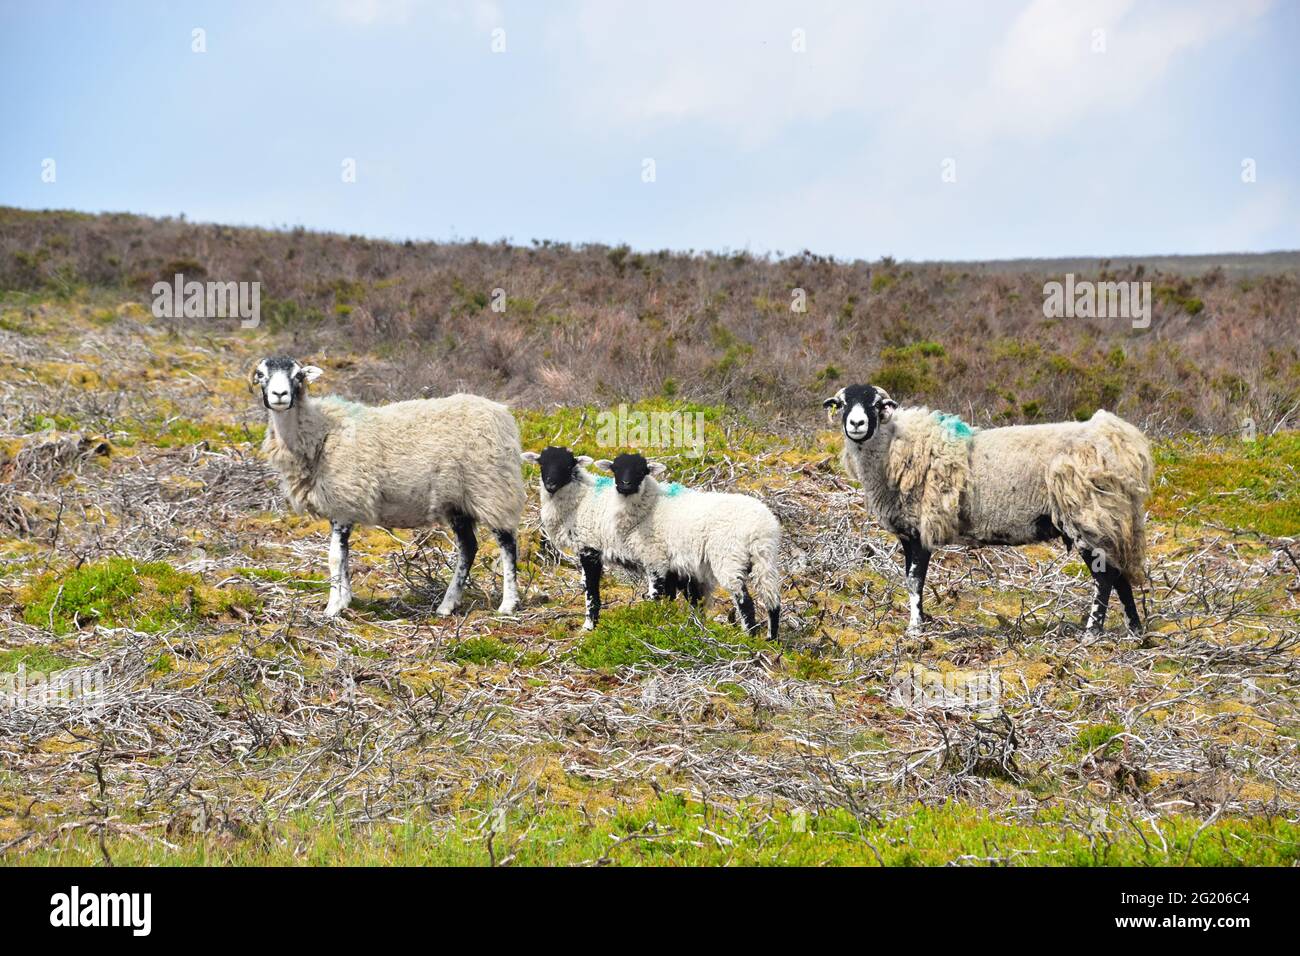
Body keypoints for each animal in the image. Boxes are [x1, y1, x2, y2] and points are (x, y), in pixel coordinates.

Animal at [250, 358, 525, 621]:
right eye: (261, 374)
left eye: (298, 375)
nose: (279, 395)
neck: (321, 431)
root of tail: (501, 413)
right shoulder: (338, 506)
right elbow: (344, 557)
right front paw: (345, 600)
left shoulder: (344, 501)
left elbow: (334, 557)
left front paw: (332, 608)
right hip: (457, 501)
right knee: (468, 547)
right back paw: (447, 605)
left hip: (493, 489)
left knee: (507, 543)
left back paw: (507, 604)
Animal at [595, 450, 785, 642]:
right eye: (615, 469)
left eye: (642, 471)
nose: (625, 485)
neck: (650, 507)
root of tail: (760, 527)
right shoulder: (681, 569)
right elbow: (690, 600)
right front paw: (692, 624)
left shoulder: (656, 558)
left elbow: (661, 594)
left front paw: (662, 618)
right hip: (765, 557)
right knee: (772, 600)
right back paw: (772, 639)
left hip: (729, 558)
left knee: (744, 600)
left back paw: (749, 637)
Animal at [826, 385, 1154, 639]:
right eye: (842, 404)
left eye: (876, 404)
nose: (856, 424)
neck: (895, 448)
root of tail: (1119, 440)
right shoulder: (909, 534)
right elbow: (911, 579)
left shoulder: (921, 530)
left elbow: (915, 580)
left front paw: (915, 629)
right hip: (1109, 518)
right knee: (1119, 572)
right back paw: (1135, 630)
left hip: (1086, 513)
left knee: (1105, 576)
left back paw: (1092, 633)